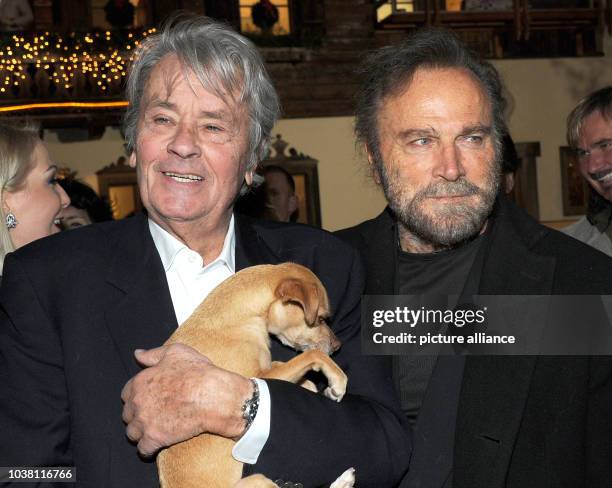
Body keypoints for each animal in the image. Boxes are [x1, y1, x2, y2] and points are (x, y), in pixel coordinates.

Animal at [158, 264, 350, 488]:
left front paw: (309, 385)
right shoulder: (258, 378)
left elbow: (289, 366)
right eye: (320, 319)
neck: (240, 317)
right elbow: (312, 355)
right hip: (260, 481)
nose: (338, 346)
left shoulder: (268, 370)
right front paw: (337, 380)